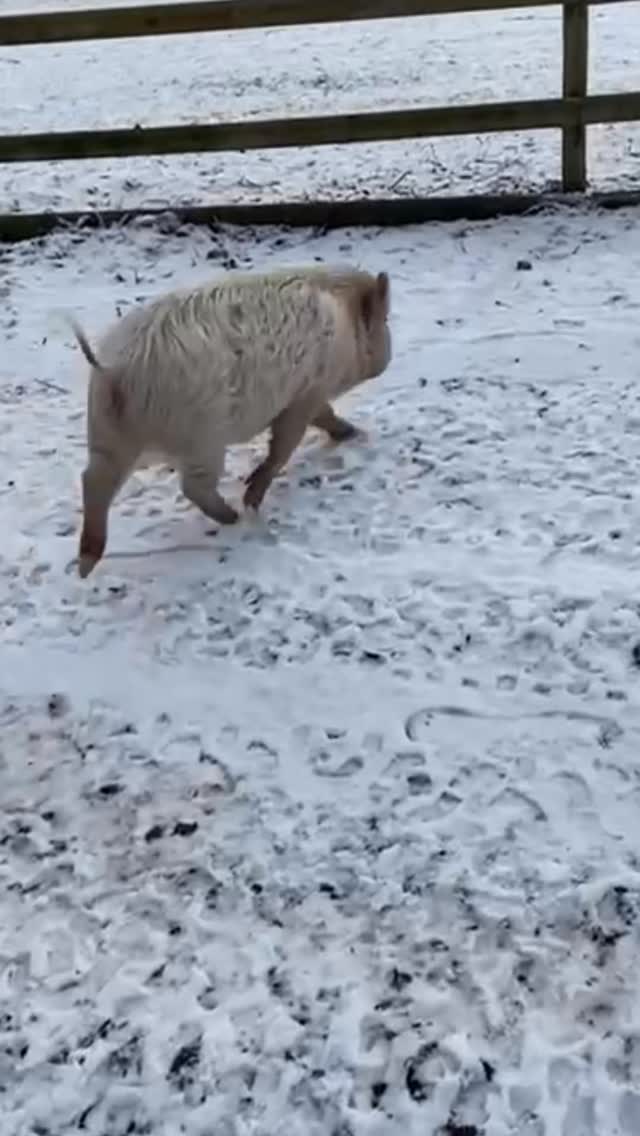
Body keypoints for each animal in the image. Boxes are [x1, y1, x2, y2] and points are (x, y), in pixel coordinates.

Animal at [69, 263, 391, 578]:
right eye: (383, 320)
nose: (389, 356)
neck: (344, 322)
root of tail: (115, 368)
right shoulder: (304, 393)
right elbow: (286, 443)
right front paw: (251, 498)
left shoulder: (309, 394)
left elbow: (324, 416)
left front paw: (352, 432)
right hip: (202, 437)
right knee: (192, 487)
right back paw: (233, 517)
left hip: (105, 431)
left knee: (92, 479)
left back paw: (85, 566)